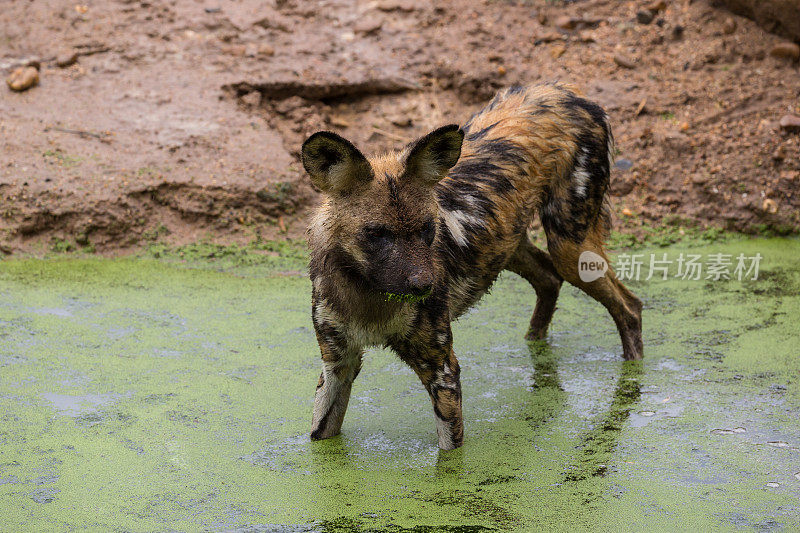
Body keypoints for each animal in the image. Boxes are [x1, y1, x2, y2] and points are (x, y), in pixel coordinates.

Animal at [300, 83, 644, 448]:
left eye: (428, 229)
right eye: (377, 234)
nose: (425, 286)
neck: (368, 294)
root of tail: (570, 94)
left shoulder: (441, 370)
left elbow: (450, 453)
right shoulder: (337, 367)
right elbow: (320, 435)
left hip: (572, 251)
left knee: (629, 307)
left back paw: (632, 378)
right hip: (512, 245)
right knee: (550, 279)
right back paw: (534, 342)